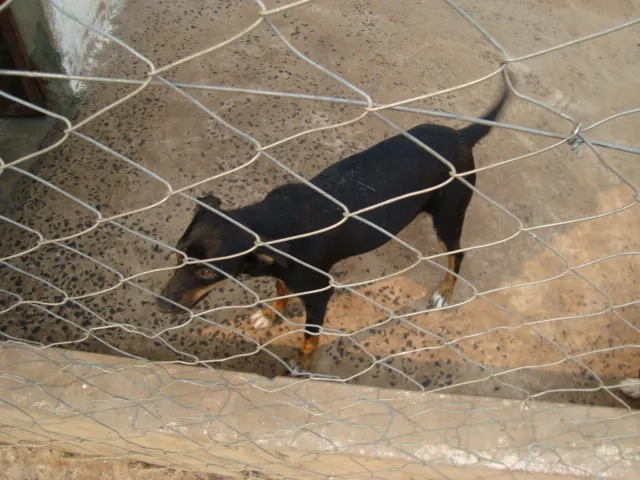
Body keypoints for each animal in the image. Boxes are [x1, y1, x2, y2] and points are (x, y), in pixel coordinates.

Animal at [159, 88, 510, 374]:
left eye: (208, 273)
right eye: (177, 256)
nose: (160, 305)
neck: (274, 221)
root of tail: (460, 135)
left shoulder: (320, 292)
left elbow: (310, 336)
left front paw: (303, 363)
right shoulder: (283, 271)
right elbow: (281, 290)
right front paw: (271, 315)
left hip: (448, 217)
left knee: (458, 254)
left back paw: (445, 292)